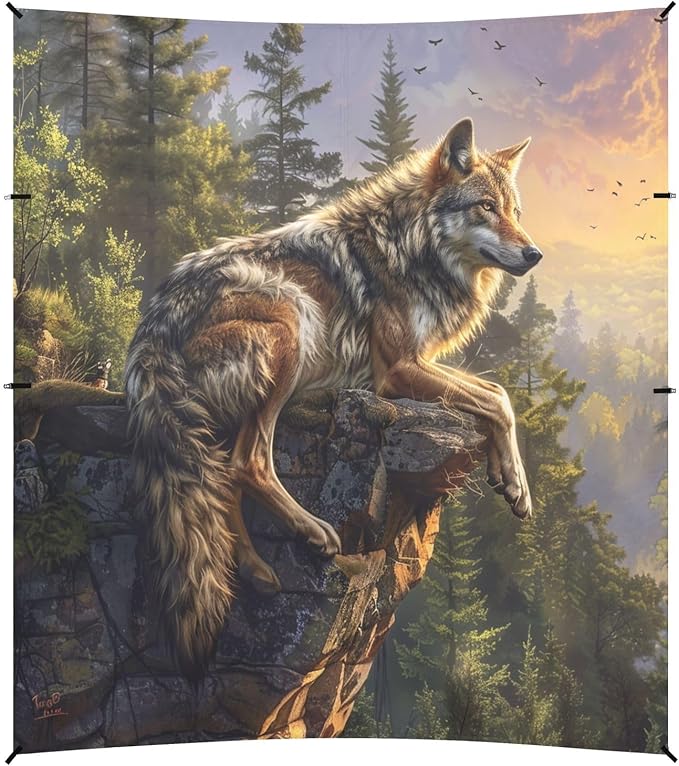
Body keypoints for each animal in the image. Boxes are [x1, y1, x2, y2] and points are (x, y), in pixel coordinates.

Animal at [123, 117, 543, 680]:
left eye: (515, 212)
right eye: (486, 207)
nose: (535, 254)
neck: (410, 246)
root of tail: (151, 330)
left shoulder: (417, 363)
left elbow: (496, 392)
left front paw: (510, 481)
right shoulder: (397, 371)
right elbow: (499, 399)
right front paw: (516, 483)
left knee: (224, 475)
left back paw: (256, 572)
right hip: (293, 320)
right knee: (249, 462)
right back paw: (314, 532)